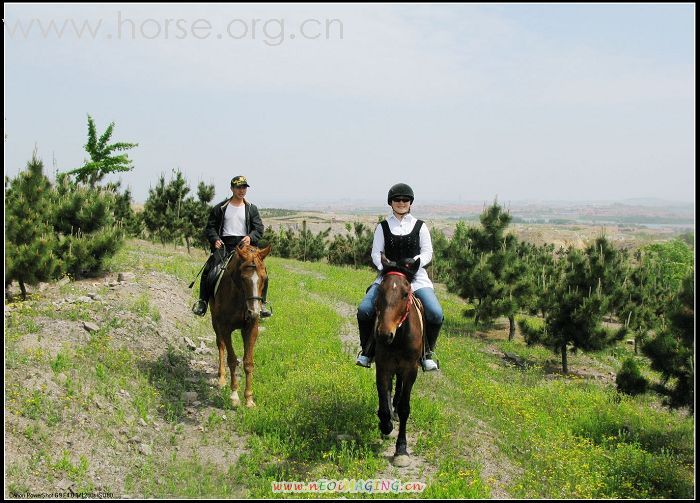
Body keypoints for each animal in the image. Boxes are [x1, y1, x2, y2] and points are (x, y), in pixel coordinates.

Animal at [209, 244, 270, 410]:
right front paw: (234, 396)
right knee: (220, 345)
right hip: (215, 321)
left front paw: (249, 399)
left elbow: (248, 362)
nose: (254, 312)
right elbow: (231, 359)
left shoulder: (251, 328)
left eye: (264, 278)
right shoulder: (225, 328)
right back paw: (221, 378)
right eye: (243, 278)